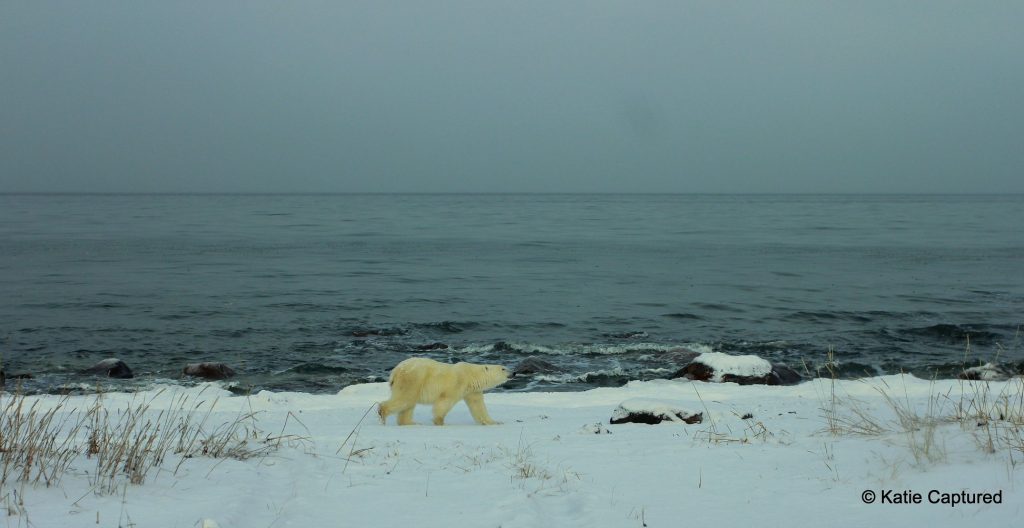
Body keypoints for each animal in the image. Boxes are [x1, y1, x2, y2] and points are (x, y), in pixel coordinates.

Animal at [378, 358, 511, 426]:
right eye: (503, 368)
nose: (513, 372)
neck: (471, 375)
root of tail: (395, 371)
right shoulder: (457, 383)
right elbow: (445, 401)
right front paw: (440, 421)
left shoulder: (473, 391)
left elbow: (478, 406)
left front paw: (494, 422)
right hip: (413, 379)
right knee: (405, 399)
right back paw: (383, 414)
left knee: (408, 404)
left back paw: (410, 423)